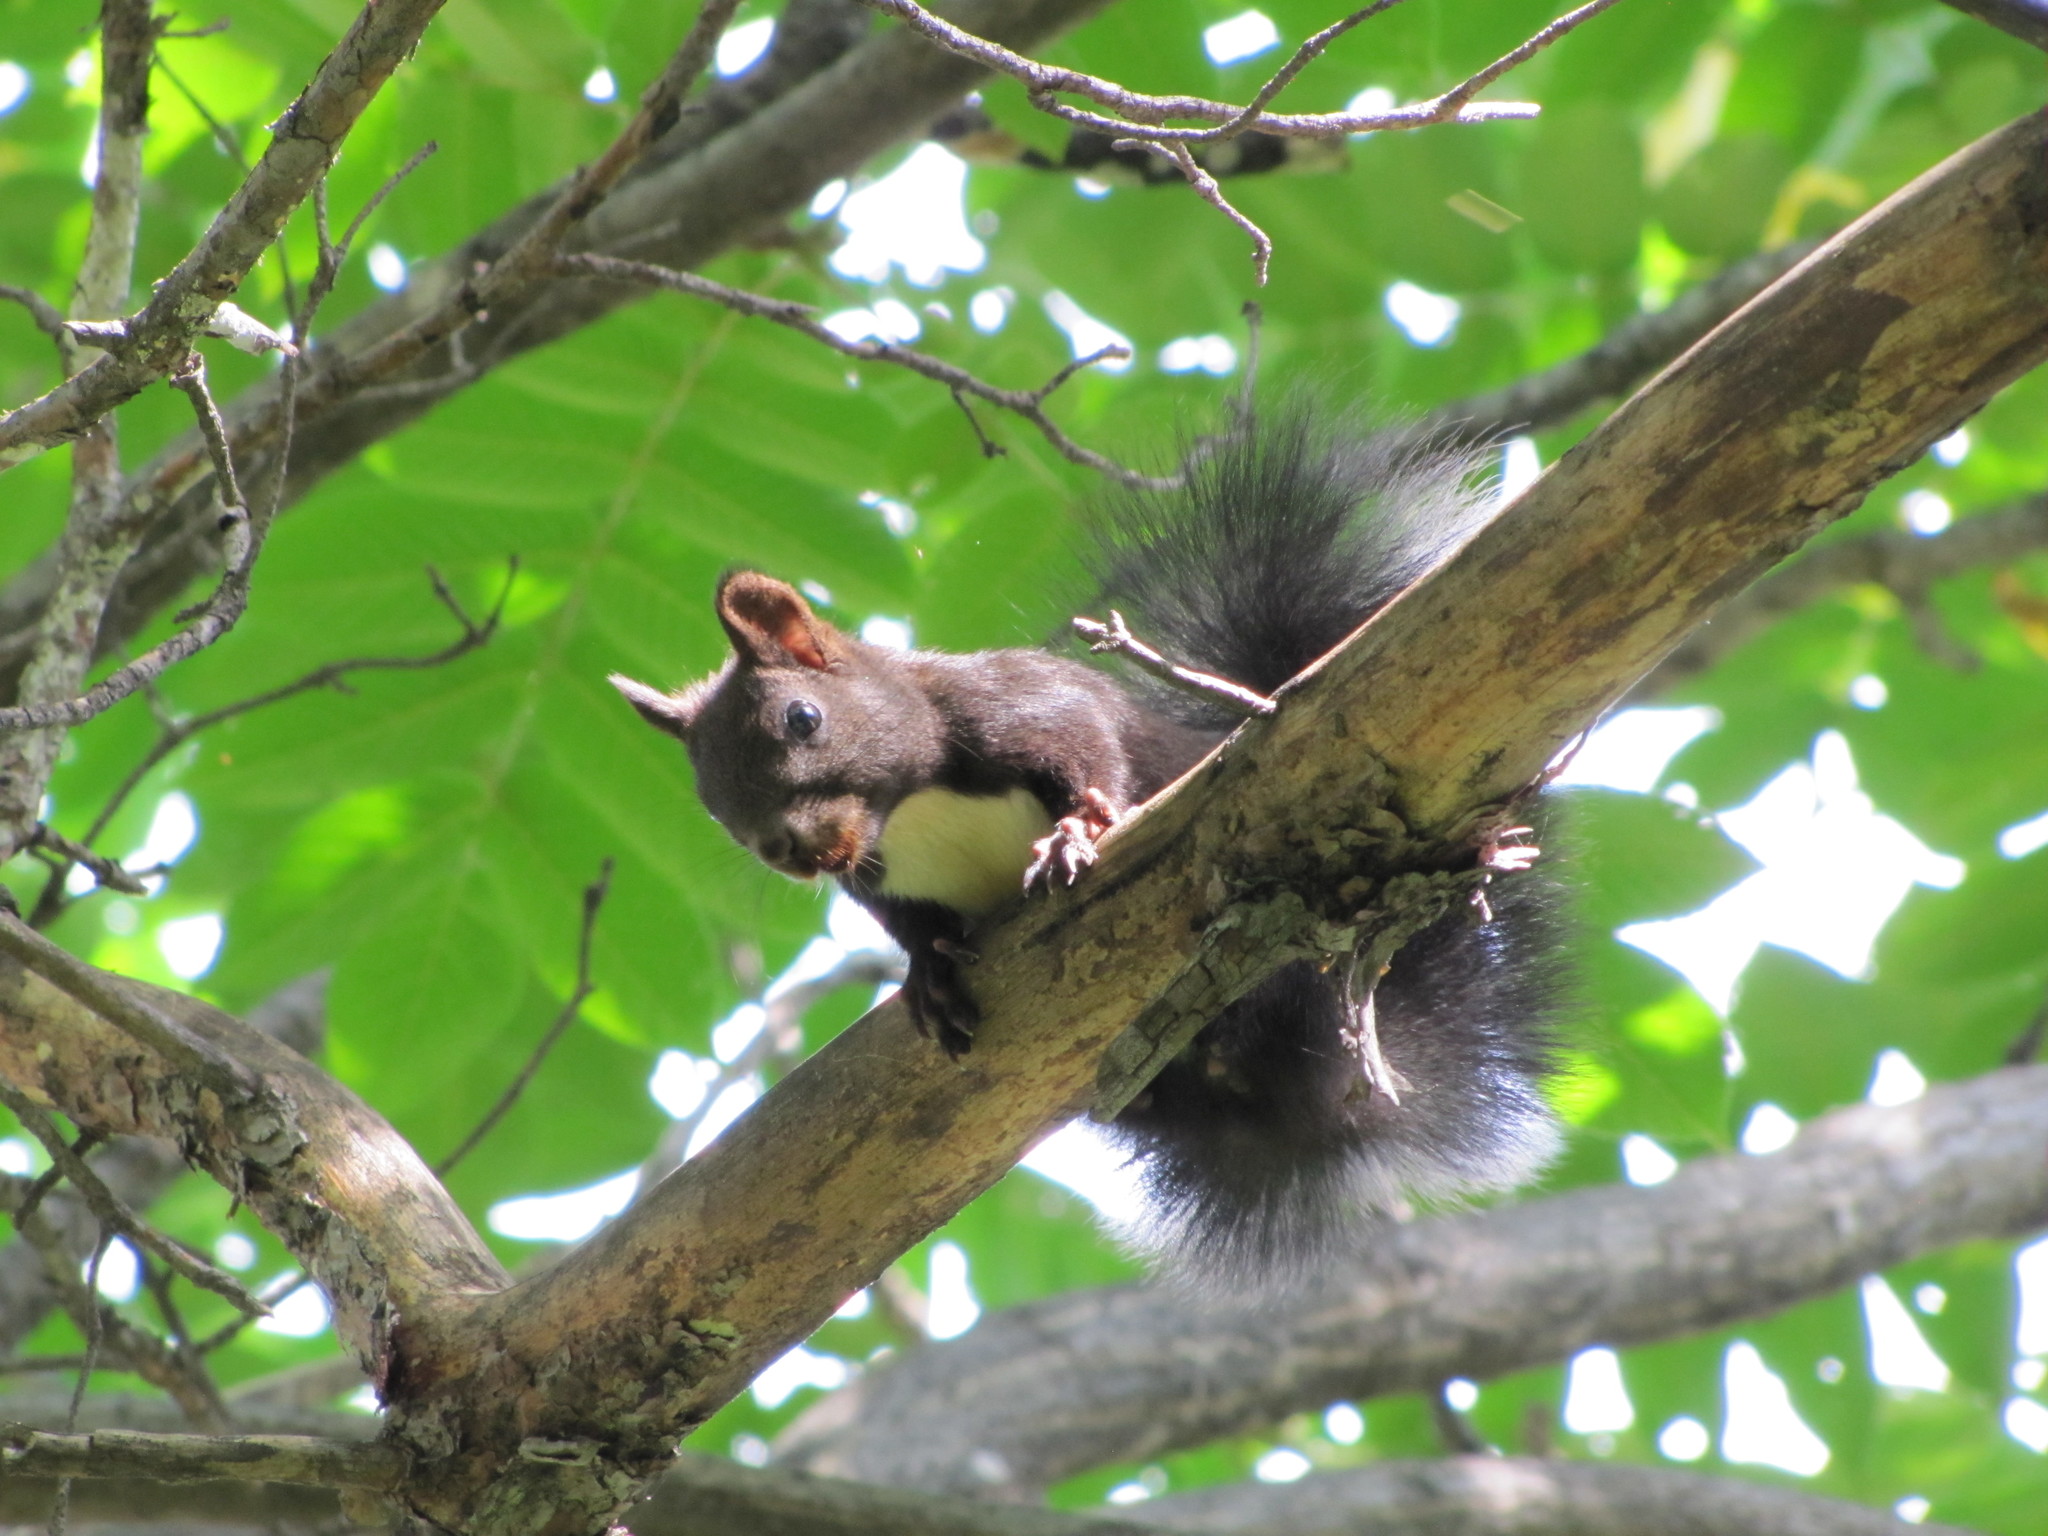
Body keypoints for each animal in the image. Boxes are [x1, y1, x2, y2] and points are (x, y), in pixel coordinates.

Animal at [614, 403, 1556, 1277]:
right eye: (711, 806)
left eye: (803, 719)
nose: (787, 849)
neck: (911, 810)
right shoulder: (882, 877)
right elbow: (909, 923)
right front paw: (927, 973)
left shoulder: (1027, 703)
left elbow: (1088, 753)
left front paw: (1075, 833)